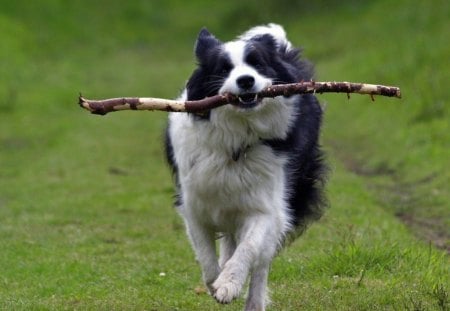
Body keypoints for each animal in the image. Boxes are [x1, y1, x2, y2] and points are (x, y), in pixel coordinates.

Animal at [165, 23, 326, 310]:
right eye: (223, 68)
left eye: (257, 63)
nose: (246, 81)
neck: (237, 139)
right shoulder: (193, 205)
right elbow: (206, 258)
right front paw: (216, 282)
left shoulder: (266, 206)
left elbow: (249, 248)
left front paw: (229, 284)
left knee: (261, 261)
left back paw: (253, 301)